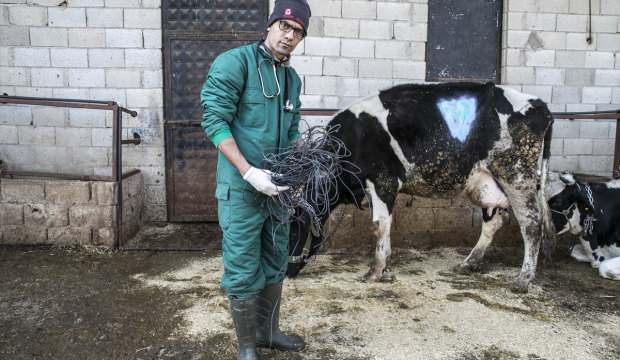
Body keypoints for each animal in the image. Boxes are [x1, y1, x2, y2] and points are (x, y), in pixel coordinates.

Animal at [288, 81, 556, 292]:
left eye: (296, 227)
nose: (287, 272)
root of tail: (538, 104)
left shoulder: (383, 181)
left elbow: (379, 225)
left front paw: (376, 270)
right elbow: (385, 224)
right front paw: (385, 264)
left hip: (517, 174)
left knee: (531, 224)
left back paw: (523, 279)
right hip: (487, 181)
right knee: (494, 221)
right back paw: (469, 263)